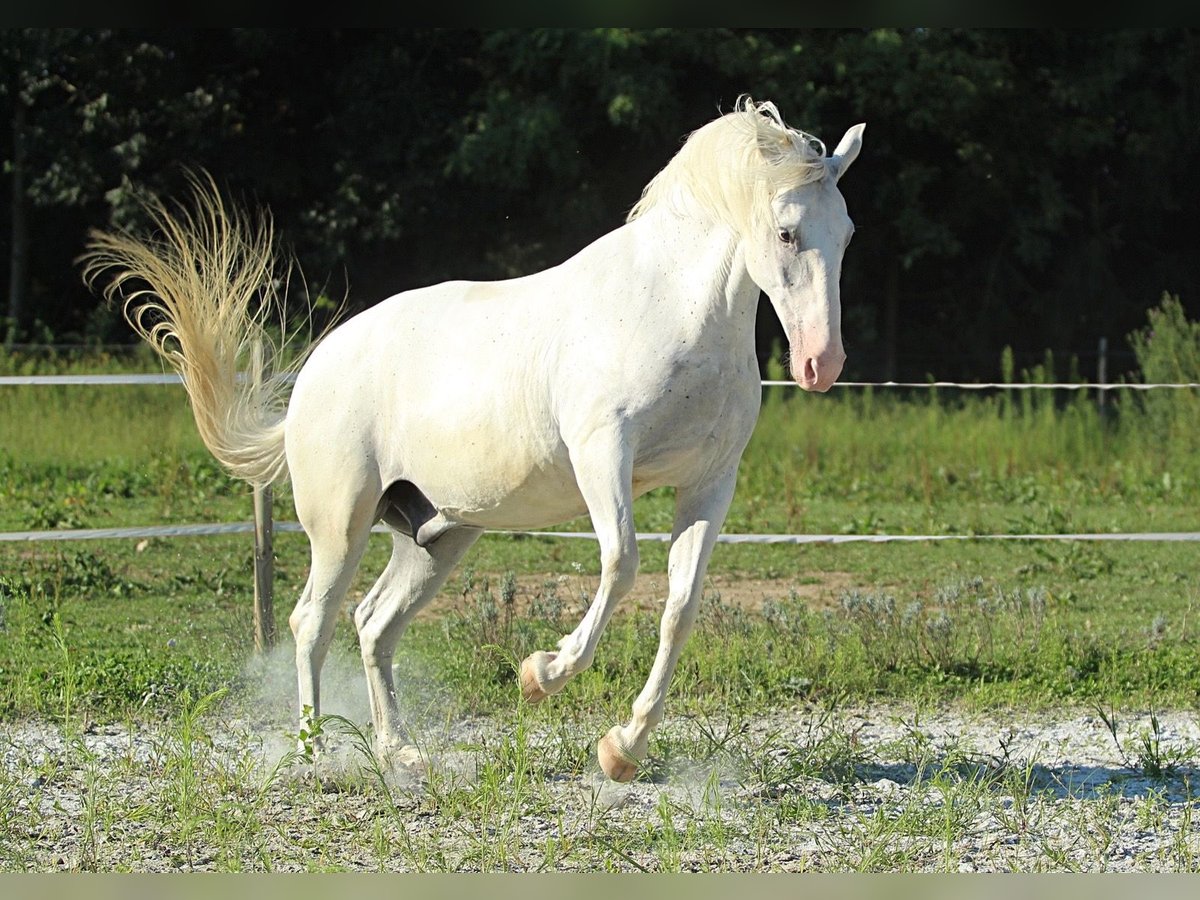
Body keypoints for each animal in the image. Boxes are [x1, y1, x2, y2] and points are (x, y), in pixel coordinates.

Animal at [82, 98, 864, 782]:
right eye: (787, 232)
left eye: (848, 233)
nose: (821, 365)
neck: (670, 308)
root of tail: (315, 372)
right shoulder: (602, 455)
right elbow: (620, 566)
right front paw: (541, 675)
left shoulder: (709, 481)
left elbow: (679, 607)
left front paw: (622, 750)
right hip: (340, 525)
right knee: (313, 621)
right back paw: (313, 752)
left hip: (437, 534)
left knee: (373, 624)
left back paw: (399, 754)